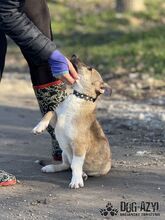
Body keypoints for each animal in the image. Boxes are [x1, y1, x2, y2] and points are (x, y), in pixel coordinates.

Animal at [32, 55, 112, 188]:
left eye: (89, 68)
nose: (74, 55)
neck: (79, 97)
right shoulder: (56, 119)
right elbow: (49, 112)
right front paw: (39, 127)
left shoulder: (79, 146)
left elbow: (76, 165)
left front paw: (76, 181)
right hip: (64, 152)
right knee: (66, 165)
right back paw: (51, 167)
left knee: (73, 166)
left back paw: (82, 174)